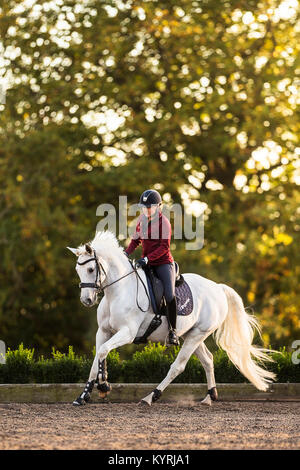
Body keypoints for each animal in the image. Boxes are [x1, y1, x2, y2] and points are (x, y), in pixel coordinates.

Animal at [67, 229, 276, 406]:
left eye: (91, 270)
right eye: (78, 271)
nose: (87, 300)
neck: (118, 291)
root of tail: (218, 287)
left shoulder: (127, 333)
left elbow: (103, 351)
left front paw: (103, 386)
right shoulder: (103, 332)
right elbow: (97, 357)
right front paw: (84, 395)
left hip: (196, 335)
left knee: (178, 366)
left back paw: (151, 397)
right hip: (192, 334)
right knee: (208, 360)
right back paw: (209, 397)